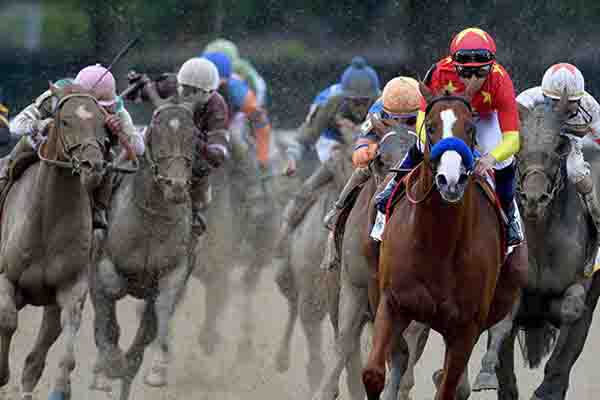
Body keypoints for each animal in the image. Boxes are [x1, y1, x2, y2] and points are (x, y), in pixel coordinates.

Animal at [0, 86, 109, 398]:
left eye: (103, 122)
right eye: (65, 121)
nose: (93, 165)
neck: (46, 221)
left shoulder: (71, 289)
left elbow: (69, 338)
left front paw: (62, 387)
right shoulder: (5, 278)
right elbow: (7, 319)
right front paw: (1, 373)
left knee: (34, 360)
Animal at [89, 103, 195, 400]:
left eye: (193, 135)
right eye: (155, 135)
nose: (176, 185)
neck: (151, 219)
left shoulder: (175, 269)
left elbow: (163, 306)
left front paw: (157, 367)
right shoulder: (105, 262)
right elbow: (110, 290)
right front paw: (109, 363)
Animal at [364, 85, 524, 400]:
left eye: (471, 127)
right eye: (431, 127)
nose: (450, 180)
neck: (437, 243)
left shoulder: (465, 327)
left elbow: (449, 388)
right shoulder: (391, 302)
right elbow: (373, 374)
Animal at [472, 101, 600, 398]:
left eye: (556, 151)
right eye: (518, 150)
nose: (533, 199)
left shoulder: (582, 283)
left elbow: (572, 310)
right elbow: (502, 323)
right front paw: (486, 372)